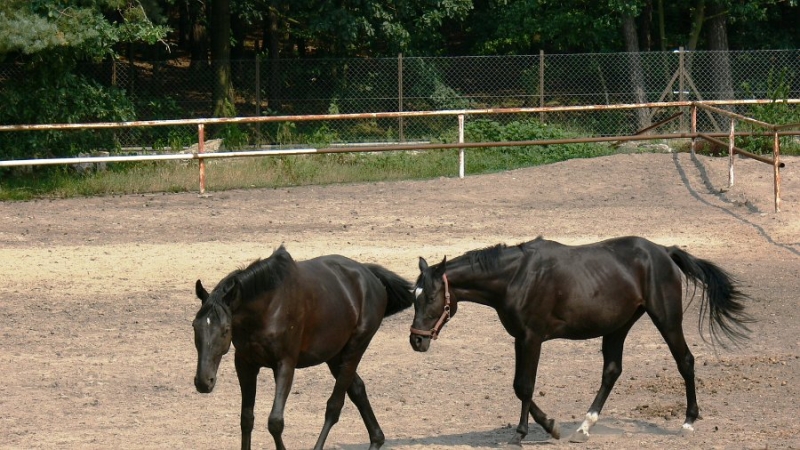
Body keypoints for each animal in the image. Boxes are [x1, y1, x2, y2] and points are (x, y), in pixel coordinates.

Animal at [195, 246, 416, 450]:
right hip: (335, 356)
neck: (268, 307)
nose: (204, 382)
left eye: (225, 329)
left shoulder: (285, 364)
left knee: (334, 406)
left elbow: (275, 422)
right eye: (194, 326)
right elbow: (246, 418)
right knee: (357, 390)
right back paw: (377, 440)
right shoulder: (245, 364)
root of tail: (370, 275)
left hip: (355, 349)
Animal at [410, 237, 752, 444]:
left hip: (666, 319)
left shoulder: (532, 337)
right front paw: (550, 425)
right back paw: (585, 426)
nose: (416, 341)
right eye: (413, 296)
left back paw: (689, 421)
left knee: (685, 362)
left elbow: (525, 385)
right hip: (618, 326)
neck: (516, 277)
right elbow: (520, 386)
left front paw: (524, 433)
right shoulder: (520, 338)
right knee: (612, 371)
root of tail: (663, 251)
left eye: (431, 296)